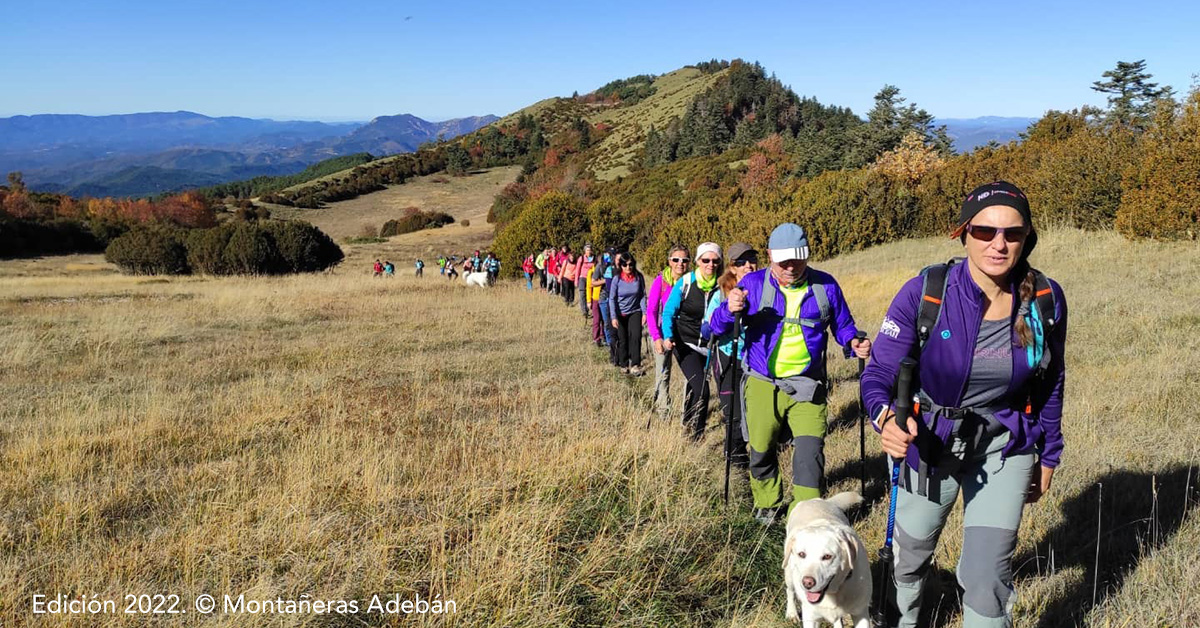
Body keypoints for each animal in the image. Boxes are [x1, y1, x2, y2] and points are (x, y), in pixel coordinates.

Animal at [777, 494, 873, 628]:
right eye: (801, 554)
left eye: (827, 556)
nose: (807, 583)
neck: (833, 593)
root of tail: (812, 500)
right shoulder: (810, 617)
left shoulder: (861, 613)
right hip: (789, 573)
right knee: (789, 591)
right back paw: (791, 613)